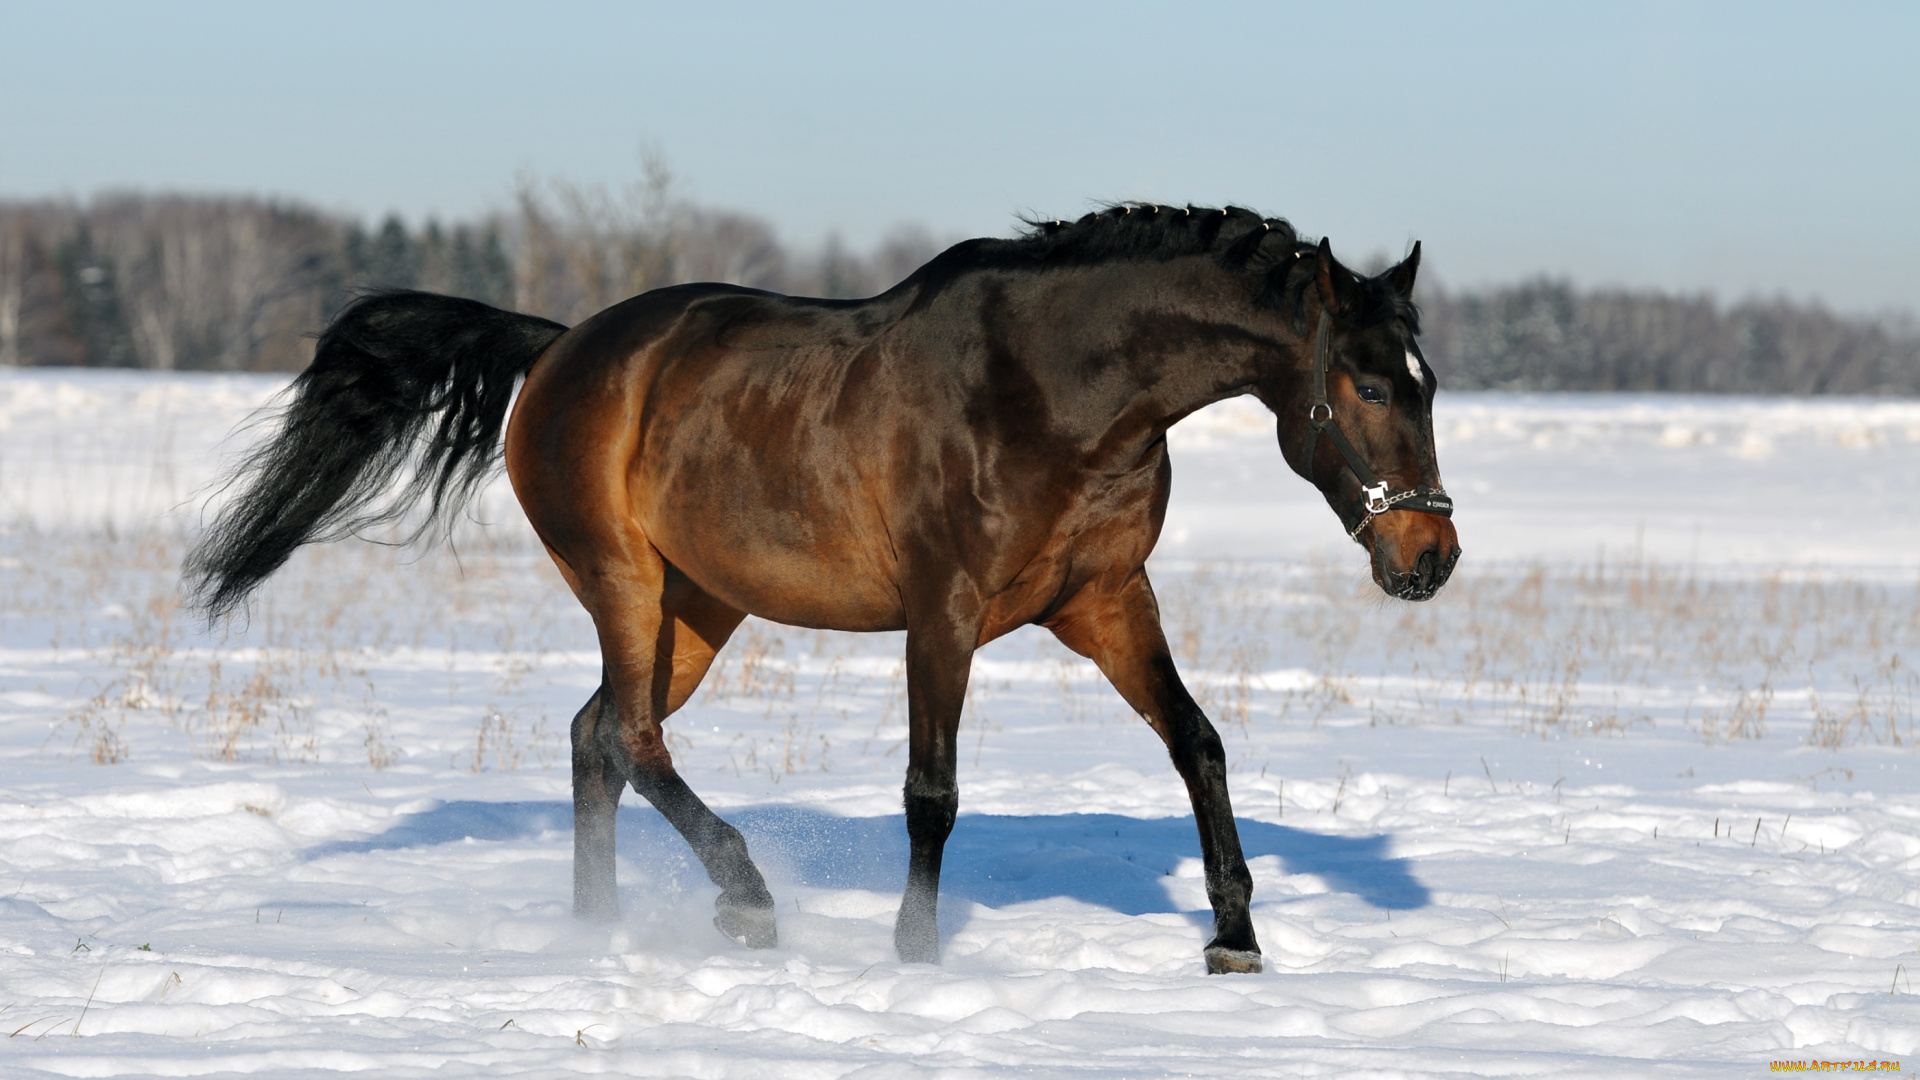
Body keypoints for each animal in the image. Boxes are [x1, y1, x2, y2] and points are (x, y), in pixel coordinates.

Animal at [191, 201, 1451, 968]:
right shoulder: (943, 614)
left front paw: (1234, 934)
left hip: (702, 606)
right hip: (624, 581)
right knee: (632, 738)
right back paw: (744, 901)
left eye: (1428, 381)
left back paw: (601, 925)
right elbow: (931, 790)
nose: (1428, 559)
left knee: (597, 737)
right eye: (1369, 385)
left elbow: (1198, 744)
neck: (1055, 391)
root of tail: (559, 350)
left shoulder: (1104, 601)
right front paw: (915, 950)